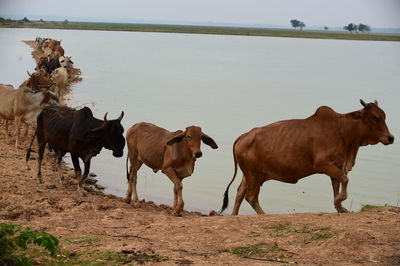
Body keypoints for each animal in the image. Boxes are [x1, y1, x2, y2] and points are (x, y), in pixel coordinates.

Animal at [220, 100, 396, 214]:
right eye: (374, 117)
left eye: (384, 115)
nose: (390, 137)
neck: (342, 131)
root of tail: (243, 136)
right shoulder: (322, 164)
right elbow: (344, 180)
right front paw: (338, 202)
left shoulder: (337, 165)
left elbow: (337, 184)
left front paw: (339, 206)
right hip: (254, 175)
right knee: (251, 197)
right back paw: (264, 215)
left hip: (250, 175)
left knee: (240, 193)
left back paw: (234, 215)